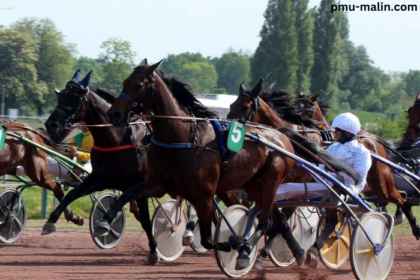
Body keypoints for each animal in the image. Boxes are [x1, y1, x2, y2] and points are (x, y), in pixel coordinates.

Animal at [42, 69, 161, 264]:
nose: (51, 124)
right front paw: (51, 221)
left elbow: (145, 219)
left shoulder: (140, 186)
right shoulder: (101, 179)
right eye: (60, 96)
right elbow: (73, 194)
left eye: (75, 97)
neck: (118, 139)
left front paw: (153, 250)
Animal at [97, 59, 360, 270]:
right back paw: (292, 252)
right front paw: (104, 221)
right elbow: (127, 194)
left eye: (139, 85)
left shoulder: (203, 194)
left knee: (270, 221)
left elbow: (209, 239)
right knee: (277, 219)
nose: (114, 114)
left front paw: (235, 241)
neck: (184, 137)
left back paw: (252, 251)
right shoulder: (158, 183)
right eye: (124, 81)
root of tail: (281, 135)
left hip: (274, 183)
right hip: (255, 184)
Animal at [296, 93, 420, 240]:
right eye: (295, 106)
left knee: (398, 198)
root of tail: (373, 138)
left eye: (308, 109)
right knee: (397, 196)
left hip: (379, 183)